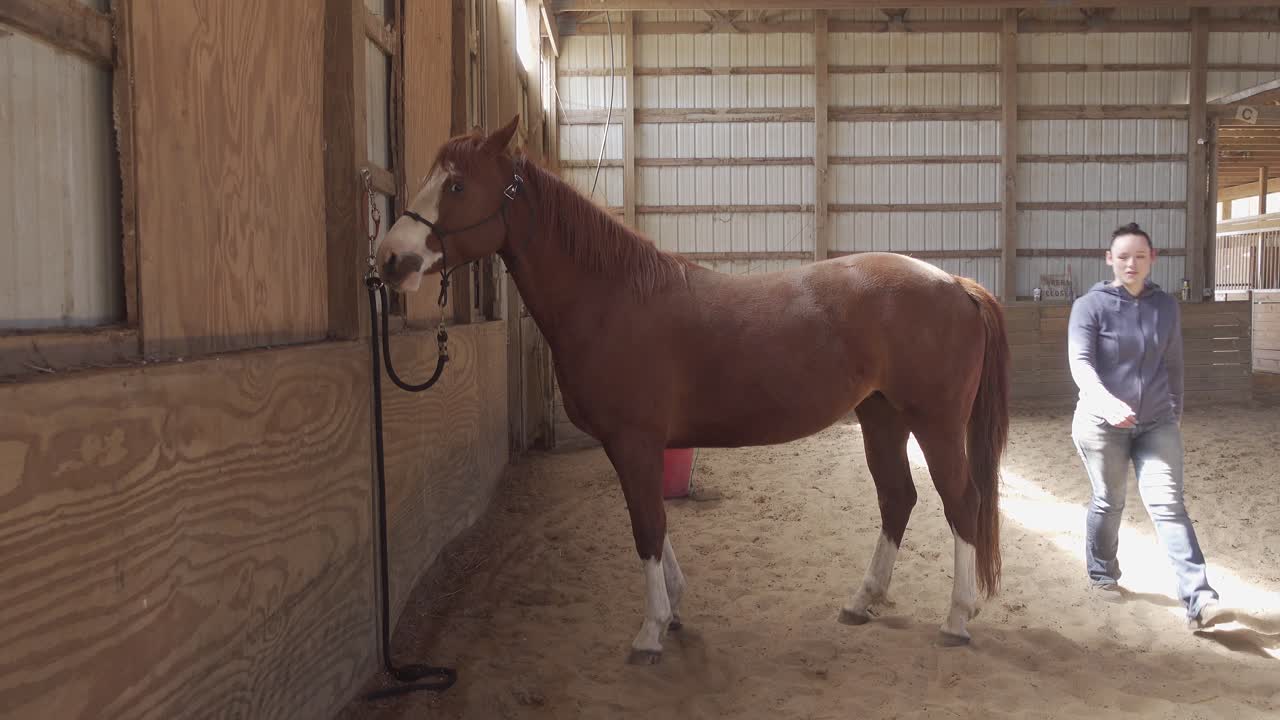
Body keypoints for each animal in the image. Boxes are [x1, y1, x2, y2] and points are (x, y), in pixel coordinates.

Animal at [374, 115, 1010, 664]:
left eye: (456, 185)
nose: (389, 259)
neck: (612, 299)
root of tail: (954, 282)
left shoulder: (634, 440)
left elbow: (647, 527)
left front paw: (651, 631)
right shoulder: (632, 446)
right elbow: (653, 520)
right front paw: (674, 609)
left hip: (934, 423)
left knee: (962, 502)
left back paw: (957, 618)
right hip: (881, 418)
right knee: (898, 498)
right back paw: (863, 601)